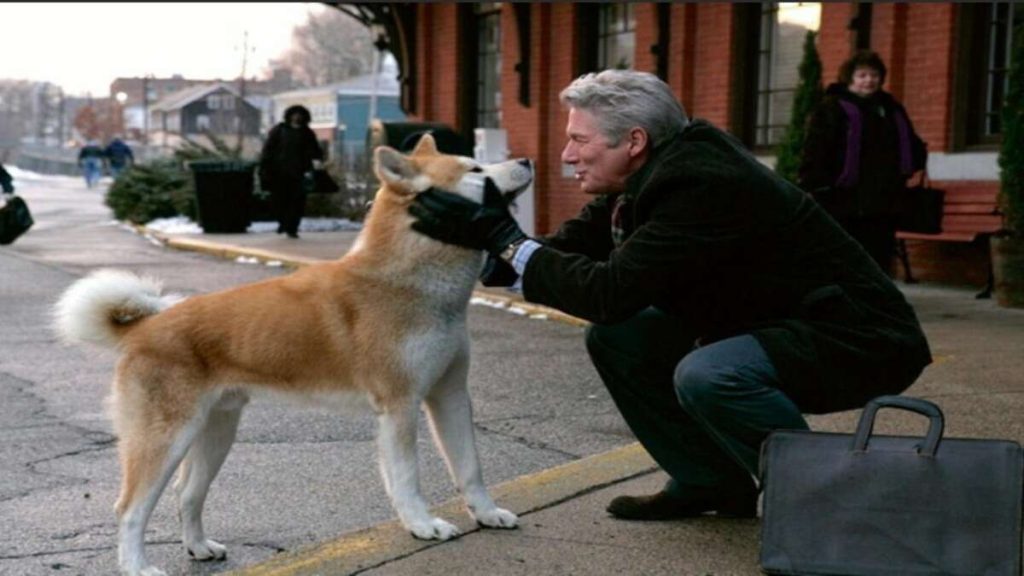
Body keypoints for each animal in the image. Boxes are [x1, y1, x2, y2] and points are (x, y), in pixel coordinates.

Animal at [54, 135, 536, 573]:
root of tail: (144, 327)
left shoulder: (450, 395)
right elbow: (407, 478)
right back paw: (138, 566)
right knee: (130, 509)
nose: (529, 159)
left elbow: (471, 468)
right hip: (165, 439)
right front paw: (422, 524)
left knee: (186, 494)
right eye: (475, 169)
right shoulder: (400, 406)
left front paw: (487, 513)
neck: (408, 284)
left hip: (216, 433)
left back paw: (200, 547)